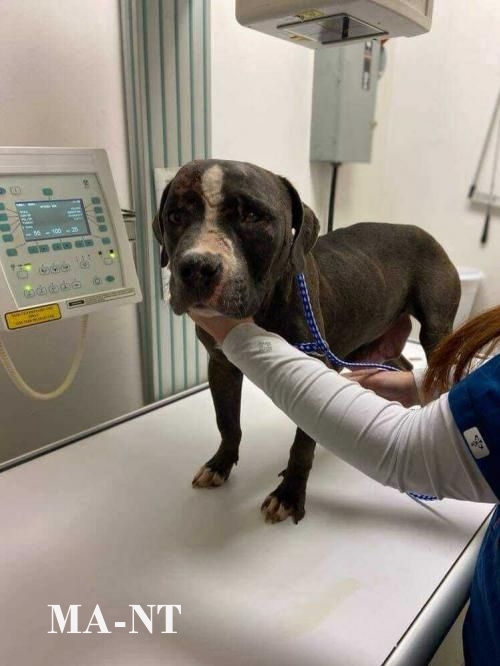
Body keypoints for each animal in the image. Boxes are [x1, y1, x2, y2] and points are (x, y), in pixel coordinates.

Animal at [153, 158, 461, 524]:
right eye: (175, 216)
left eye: (252, 216)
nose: (197, 266)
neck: (262, 308)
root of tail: (426, 234)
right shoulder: (222, 364)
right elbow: (227, 422)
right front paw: (221, 464)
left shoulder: (313, 370)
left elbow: (302, 446)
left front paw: (289, 494)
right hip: (377, 339)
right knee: (400, 363)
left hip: (435, 330)